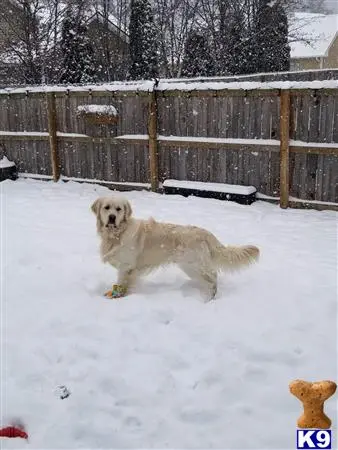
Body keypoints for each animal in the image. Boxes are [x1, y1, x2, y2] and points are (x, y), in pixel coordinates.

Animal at [91, 195, 260, 300]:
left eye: (118, 209)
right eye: (106, 207)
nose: (112, 218)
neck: (117, 234)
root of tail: (204, 232)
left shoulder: (126, 267)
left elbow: (122, 284)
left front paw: (120, 297)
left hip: (191, 264)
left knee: (213, 276)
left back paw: (209, 298)